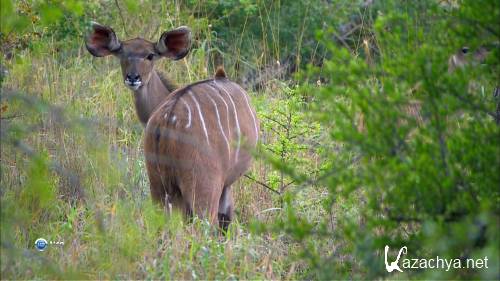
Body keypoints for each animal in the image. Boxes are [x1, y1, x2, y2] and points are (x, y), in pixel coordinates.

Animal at [84, 22, 260, 228]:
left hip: (159, 186)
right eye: (122, 54)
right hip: (202, 187)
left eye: (150, 55)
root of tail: (167, 121)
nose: (133, 77)